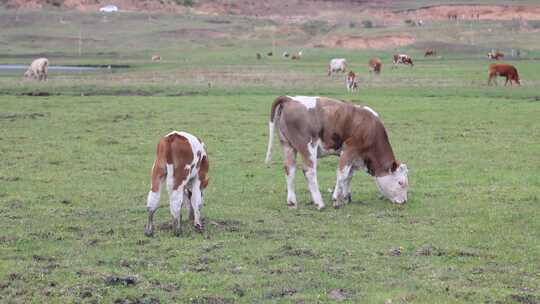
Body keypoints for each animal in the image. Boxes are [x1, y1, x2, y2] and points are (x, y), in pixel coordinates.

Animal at [266, 95, 410, 209]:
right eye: (400, 182)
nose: (404, 201)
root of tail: (290, 99)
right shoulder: (349, 150)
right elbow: (342, 174)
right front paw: (336, 199)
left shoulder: (355, 157)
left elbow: (349, 176)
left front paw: (346, 197)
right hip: (307, 146)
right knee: (309, 171)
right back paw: (319, 203)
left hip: (287, 145)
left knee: (289, 170)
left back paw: (292, 202)